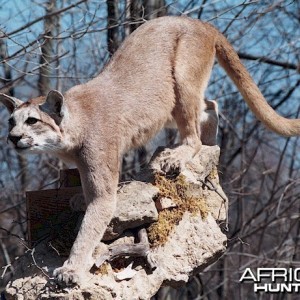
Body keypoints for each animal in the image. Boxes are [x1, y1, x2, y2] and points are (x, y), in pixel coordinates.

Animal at [0, 15, 300, 284]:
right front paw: (77, 200)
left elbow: (90, 226)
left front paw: (71, 269)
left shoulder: (102, 181)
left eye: (32, 121)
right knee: (210, 106)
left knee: (194, 132)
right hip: (168, 106)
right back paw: (211, 144)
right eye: (11, 121)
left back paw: (180, 154)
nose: (13, 137)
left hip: (181, 80)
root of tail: (200, 23)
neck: (71, 133)